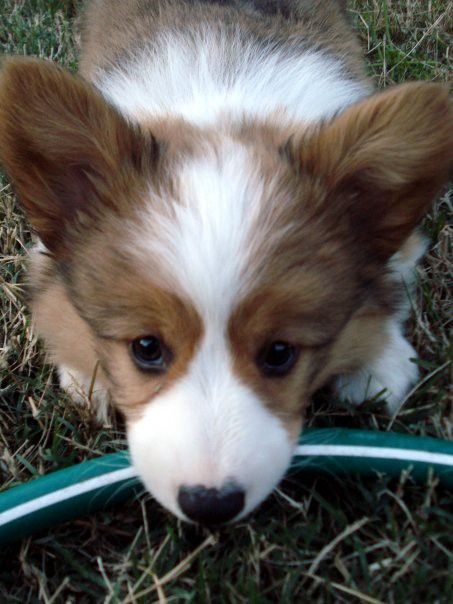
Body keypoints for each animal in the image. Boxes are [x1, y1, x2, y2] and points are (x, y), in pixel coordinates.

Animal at [0, 1, 450, 524]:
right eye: (146, 347)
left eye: (279, 353)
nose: (210, 505)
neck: (222, 110)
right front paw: (84, 374)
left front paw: (379, 363)